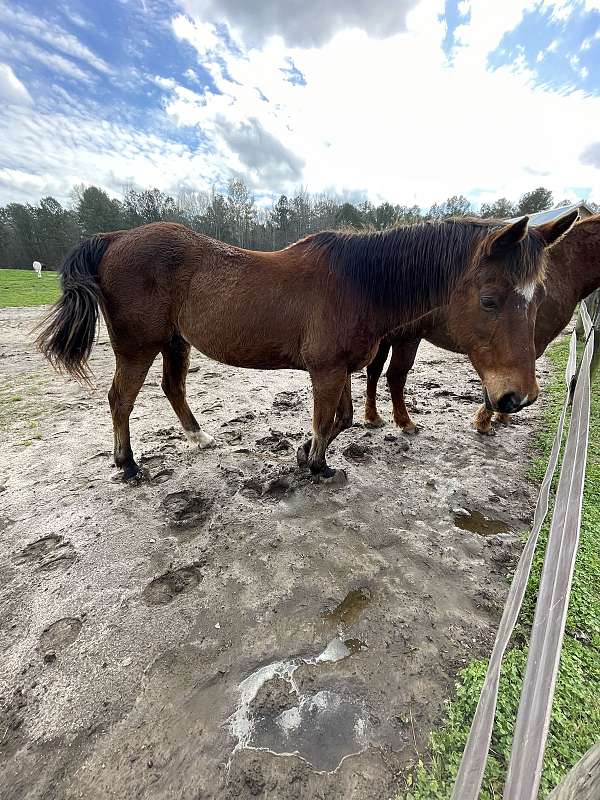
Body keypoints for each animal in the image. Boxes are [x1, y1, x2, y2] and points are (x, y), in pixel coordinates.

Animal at [364, 209, 592, 435]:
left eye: (541, 297)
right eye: (488, 301)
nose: (524, 398)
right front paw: (486, 421)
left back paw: (373, 417)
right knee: (388, 373)